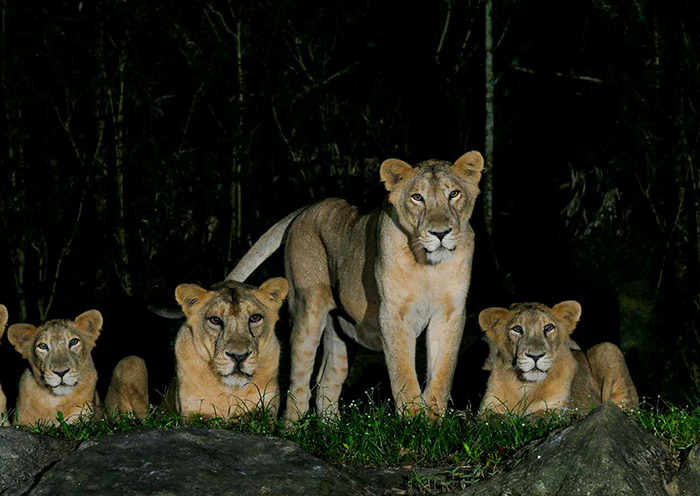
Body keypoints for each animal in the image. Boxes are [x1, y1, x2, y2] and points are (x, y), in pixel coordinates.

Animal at [8, 310, 149, 425]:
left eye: (73, 342)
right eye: (42, 346)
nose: (61, 372)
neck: (53, 401)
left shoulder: (84, 420)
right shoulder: (21, 422)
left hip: (132, 360)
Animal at [171, 277, 288, 420]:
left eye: (255, 318)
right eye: (215, 320)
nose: (239, 356)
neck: (230, 391)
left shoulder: (265, 406)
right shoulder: (192, 410)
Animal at [227, 152, 484, 421]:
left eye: (454, 194)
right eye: (417, 197)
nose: (440, 233)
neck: (428, 267)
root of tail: (306, 208)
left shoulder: (450, 313)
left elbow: (443, 373)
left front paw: (433, 420)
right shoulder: (393, 313)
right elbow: (403, 371)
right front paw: (413, 420)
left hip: (341, 331)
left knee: (327, 382)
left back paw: (331, 428)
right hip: (307, 311)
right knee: (299, 383)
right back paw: (293, 427)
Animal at [478, 301, 639, 415]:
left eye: (548, 327)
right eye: (517, 329)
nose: (535, 356)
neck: (526, 387)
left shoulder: (557, 410)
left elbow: (534, 419)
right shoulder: (489, 408)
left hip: (607, 347)